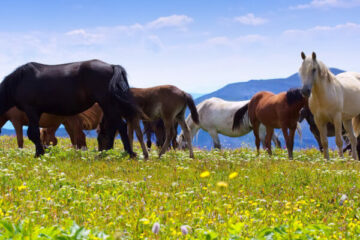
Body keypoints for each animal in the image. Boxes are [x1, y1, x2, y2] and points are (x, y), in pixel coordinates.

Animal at [0, 59, 139, 157]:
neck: (18, 82)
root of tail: (111, 66)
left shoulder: (31, 110)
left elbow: (32, 133)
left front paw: (39, 154)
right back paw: (106, 153)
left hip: (107, 104)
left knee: (120, 126)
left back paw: (129, 153)